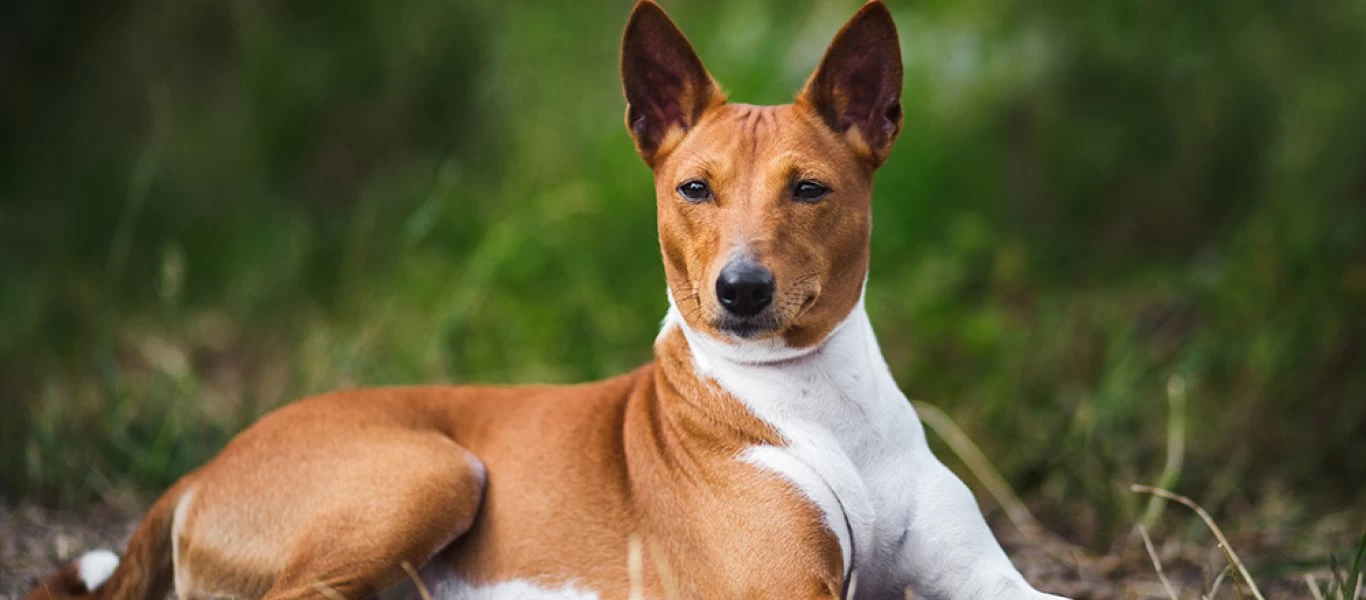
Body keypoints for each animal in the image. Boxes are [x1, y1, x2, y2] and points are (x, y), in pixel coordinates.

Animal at [24, 1, 1065, 600]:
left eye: (809, 189)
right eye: (694, 189)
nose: (740, 289)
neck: (816, 400)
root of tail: (203, 470)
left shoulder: (988, 580)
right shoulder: (779, 591)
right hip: (434, 470)